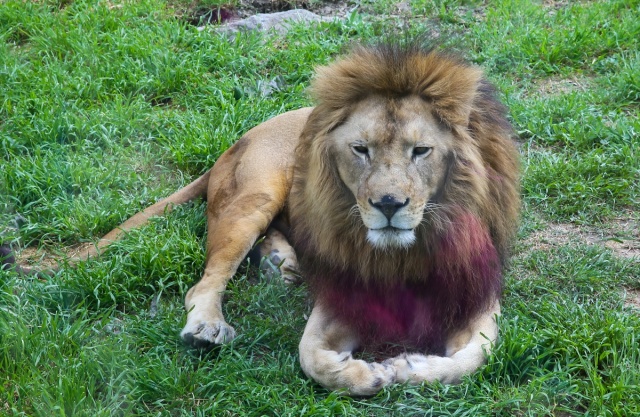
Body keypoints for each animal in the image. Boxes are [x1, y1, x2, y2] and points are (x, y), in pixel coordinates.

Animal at [1, 42, 520, 394]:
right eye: (361, 150)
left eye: (421, 151)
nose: (388, 204)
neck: (402, 253)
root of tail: (239, 138)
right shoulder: (339, 297)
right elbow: (309, 355)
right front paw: (359, 374)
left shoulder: (475, 296)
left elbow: (478, 355)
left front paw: (410, 368)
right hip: (255, 195)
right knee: (206, 281)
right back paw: (208, 327)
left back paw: (279, 262)